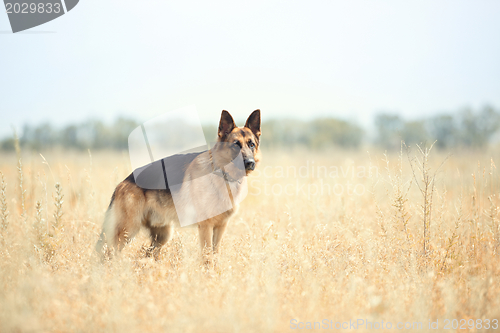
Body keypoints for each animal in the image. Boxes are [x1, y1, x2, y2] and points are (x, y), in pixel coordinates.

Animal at [95, 110, 264, 258]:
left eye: (251, 145)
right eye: (236, 145)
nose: (249, 163)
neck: (221, 172)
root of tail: (123, 182)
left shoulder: (220, 227)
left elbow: (215, 256)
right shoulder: (206, 227)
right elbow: (207, 258)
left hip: (162, 236)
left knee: (145, 255)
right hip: (126, 232)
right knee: (107, 254)